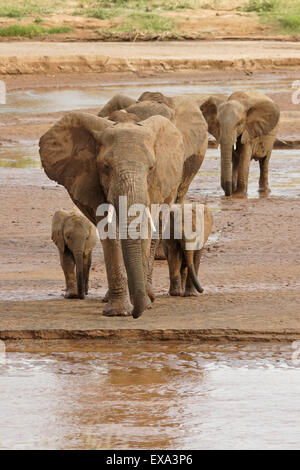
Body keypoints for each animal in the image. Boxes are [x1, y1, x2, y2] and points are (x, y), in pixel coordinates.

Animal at [39, 99, 209, 320]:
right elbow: (108, 231)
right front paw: (118, 312)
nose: (136, 314)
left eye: (151, 168)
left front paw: (143, 305)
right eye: (105, 166)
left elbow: (144, 228)